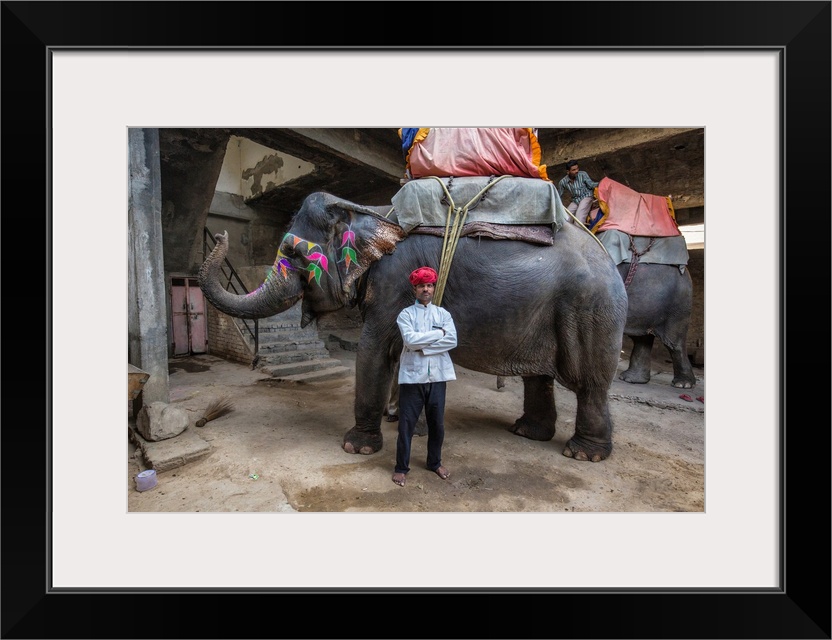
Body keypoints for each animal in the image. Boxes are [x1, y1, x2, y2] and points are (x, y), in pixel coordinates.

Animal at [202, 192, 628, 462]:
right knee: (539, 377)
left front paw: (357, 447)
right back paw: (527, 432)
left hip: (590, 310)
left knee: (589, 382)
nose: (221, 234)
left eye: (293, 253)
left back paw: (583, 453)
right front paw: (401, 422)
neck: (371, 211)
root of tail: (607, 258)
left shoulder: (394, 280)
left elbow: (374, 350)